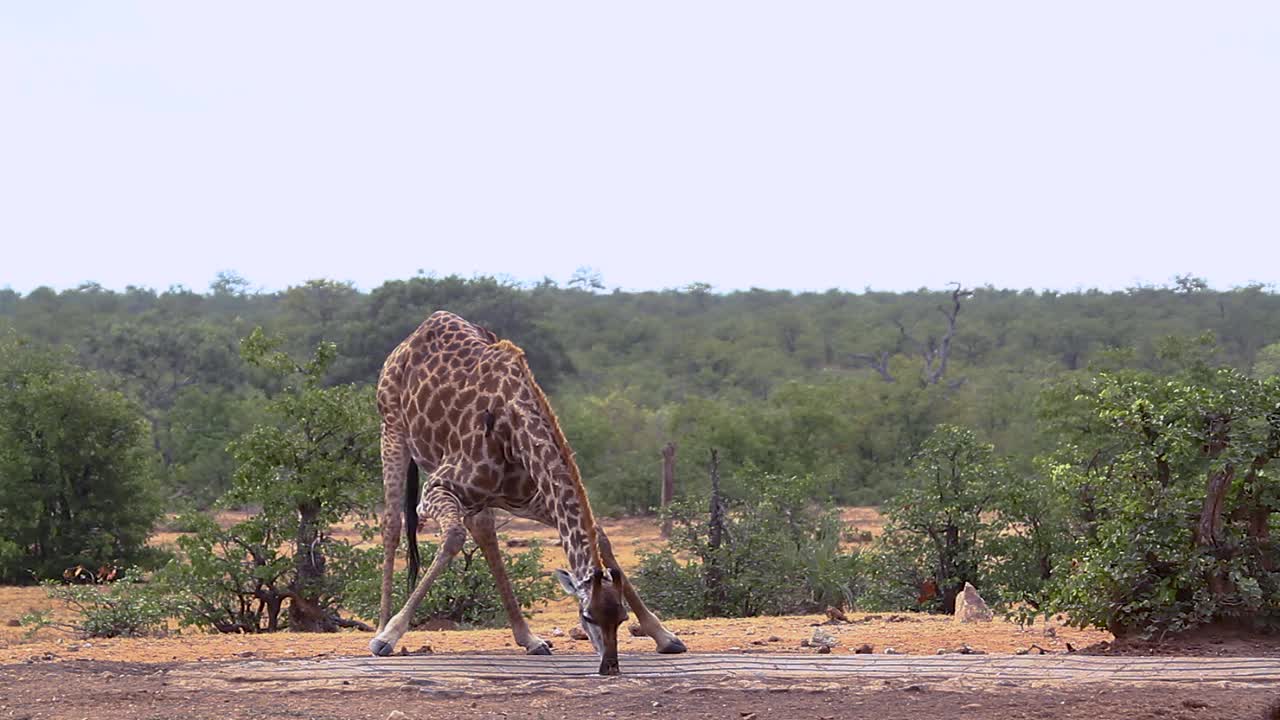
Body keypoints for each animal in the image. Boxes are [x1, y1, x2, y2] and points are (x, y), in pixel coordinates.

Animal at [371, 308, 691, 671]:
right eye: (587, 617)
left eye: (621, 618)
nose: (610, 665)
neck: (515, 430)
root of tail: (412, 337)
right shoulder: (435, 489)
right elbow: (452, 537)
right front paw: (389, 634)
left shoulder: (534, 498)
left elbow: (602, 538)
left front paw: (664, 635)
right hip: (392, 429)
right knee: (392, 523)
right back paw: (381, 626)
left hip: (483, 497)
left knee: (484, 531)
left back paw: (529, 638)